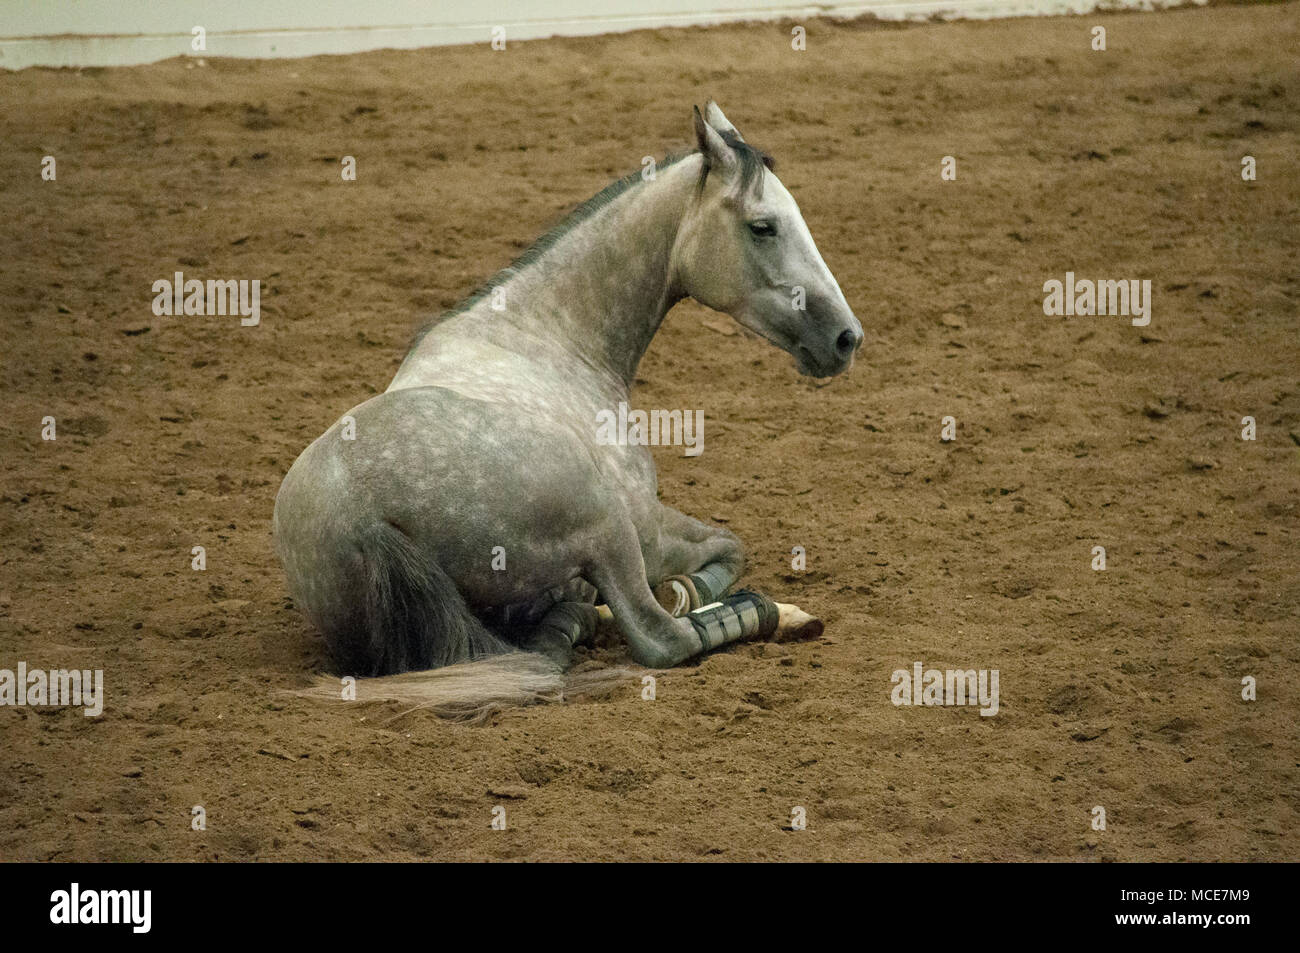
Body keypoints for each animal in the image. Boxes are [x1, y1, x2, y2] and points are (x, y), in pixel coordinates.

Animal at [274, 102, 863, 712]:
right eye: (763, 226)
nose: (846, 338)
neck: (545, 335)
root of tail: (362, 517)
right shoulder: (649, 530)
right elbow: (727, 551)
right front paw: (689, 592)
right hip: (611, 530)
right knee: (661, 637)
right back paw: (769, 614)